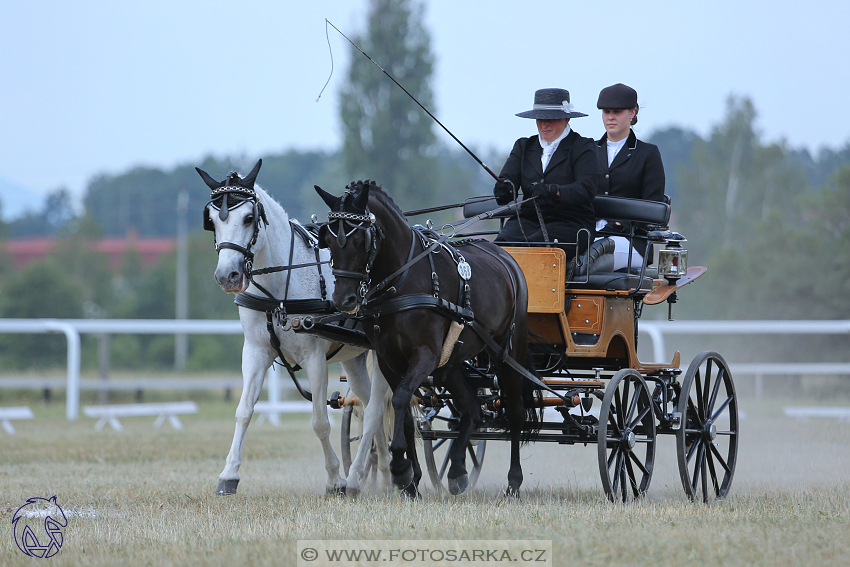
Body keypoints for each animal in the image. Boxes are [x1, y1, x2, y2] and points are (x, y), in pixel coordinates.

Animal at [314, 181, 532, 496]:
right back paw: (457, 470)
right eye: (328, 241)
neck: (401, 281)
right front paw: (410, 478)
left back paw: (513, 481)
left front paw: (399, 467)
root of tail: (504, 256)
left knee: (514, 410)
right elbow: (403, 414)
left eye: (360, 242)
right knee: (470, 407)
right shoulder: (389, 359)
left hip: (507, 353)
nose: (344, 300)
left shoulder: (425, 355)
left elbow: (402, 399)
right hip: (451, 362)